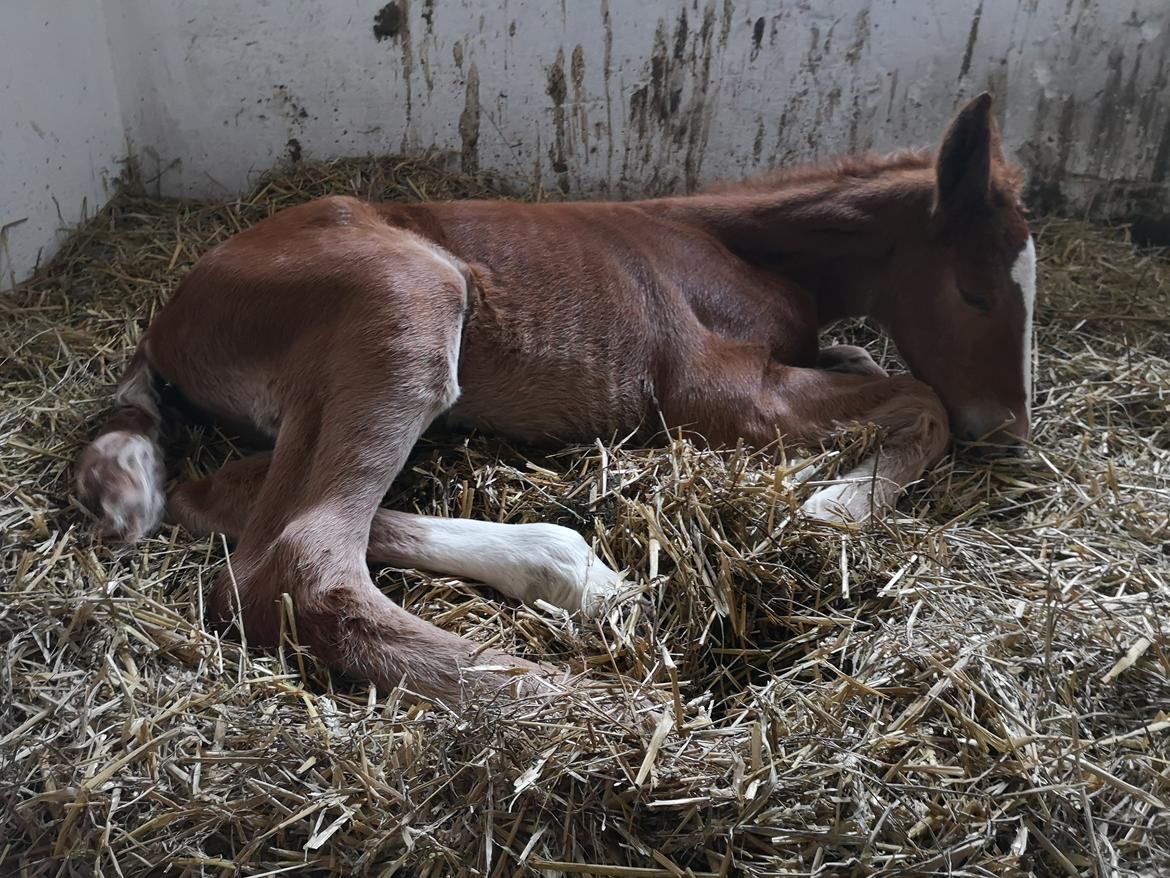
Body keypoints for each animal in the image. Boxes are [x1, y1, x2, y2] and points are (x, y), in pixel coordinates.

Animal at [77, 93, 1034, 707]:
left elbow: (874, 368)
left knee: (222, 493)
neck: (743, 250)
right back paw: (590, 713)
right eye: (977, 292)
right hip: (406, 300)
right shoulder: (722, 393)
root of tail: (168, 317)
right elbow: (920, 397)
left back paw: (580, 578)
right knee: (291, 559)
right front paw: (834, 506)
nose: (1012, 435)